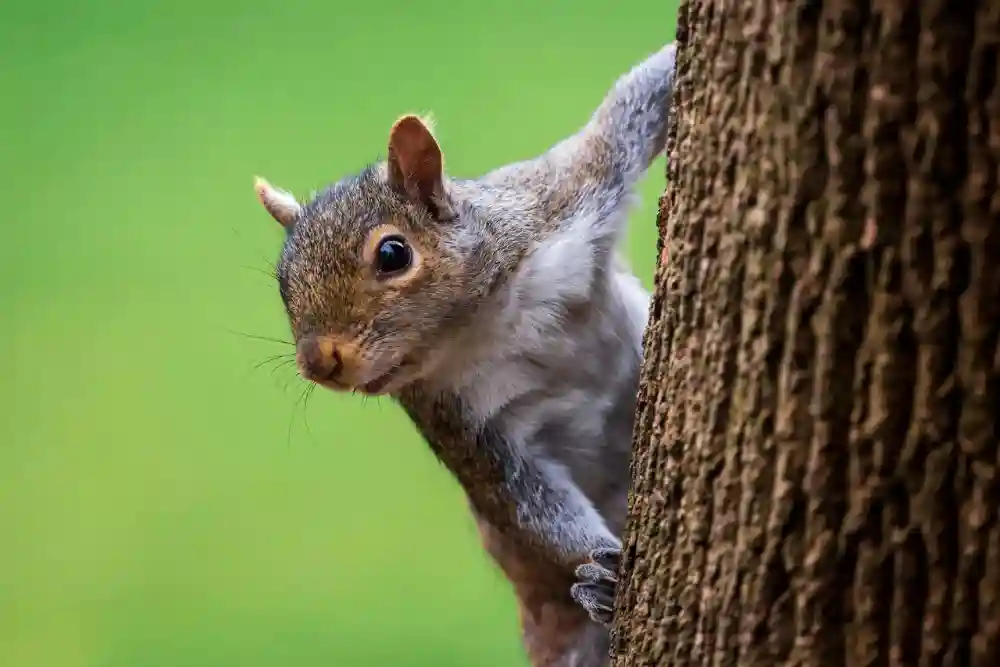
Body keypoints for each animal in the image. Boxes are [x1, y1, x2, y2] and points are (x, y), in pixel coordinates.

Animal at [253, 42, 676, 667]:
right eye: (281, 282)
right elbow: (523, 499)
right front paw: (604, 564)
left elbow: (632, 105)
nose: (316, 362)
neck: (492, 322)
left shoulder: (566, 195)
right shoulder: (463, 419)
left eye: (393, 254)